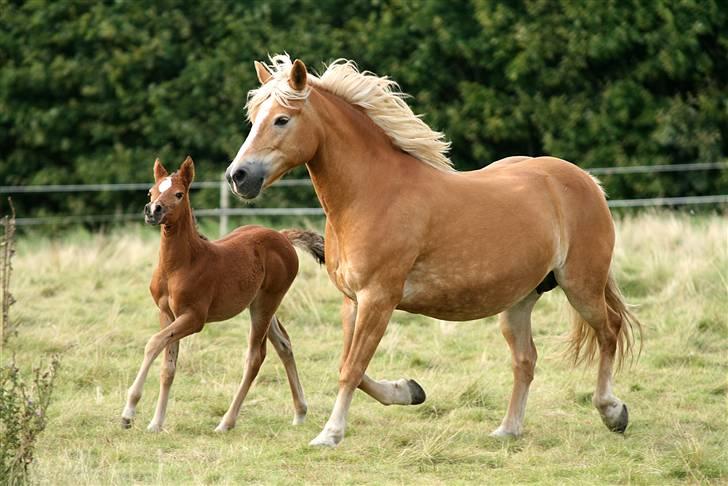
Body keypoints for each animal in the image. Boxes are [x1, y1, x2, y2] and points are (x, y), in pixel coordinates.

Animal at [121, 156, 324, 432]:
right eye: (151, 192)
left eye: (179, 194)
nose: (153, 211)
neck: (181, 264)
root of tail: (282, 237)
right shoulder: (167, 314)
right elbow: (168, 367)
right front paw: (156, 423)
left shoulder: (194, 318)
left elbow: (153, 343)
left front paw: (129, 412)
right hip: (260, 303)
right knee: (284, 344)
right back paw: (300, 412)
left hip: (266, 303)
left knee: (255, 357)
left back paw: (227, 422)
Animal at [225, 55, 640, 446]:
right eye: (254, 118)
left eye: (281, 119)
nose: (238, 176)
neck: (371, 194)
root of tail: (585, 180)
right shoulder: (352, 302)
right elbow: (351, 367)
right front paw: (408, 390)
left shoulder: (378, 299)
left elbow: (352, 369)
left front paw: (330, 434)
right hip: (520, 300)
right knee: (526, 360)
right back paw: (508, 429)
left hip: (581, 286)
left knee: (609, 331)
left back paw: (612, 411)